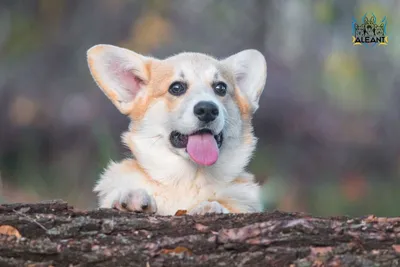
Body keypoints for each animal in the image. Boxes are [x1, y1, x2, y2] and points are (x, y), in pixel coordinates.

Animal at [88, 44, 268, 216]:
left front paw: (209, 207)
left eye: (221, 88)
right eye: (176, 88)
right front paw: (131, 198)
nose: (208, 110)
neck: (187, 181)